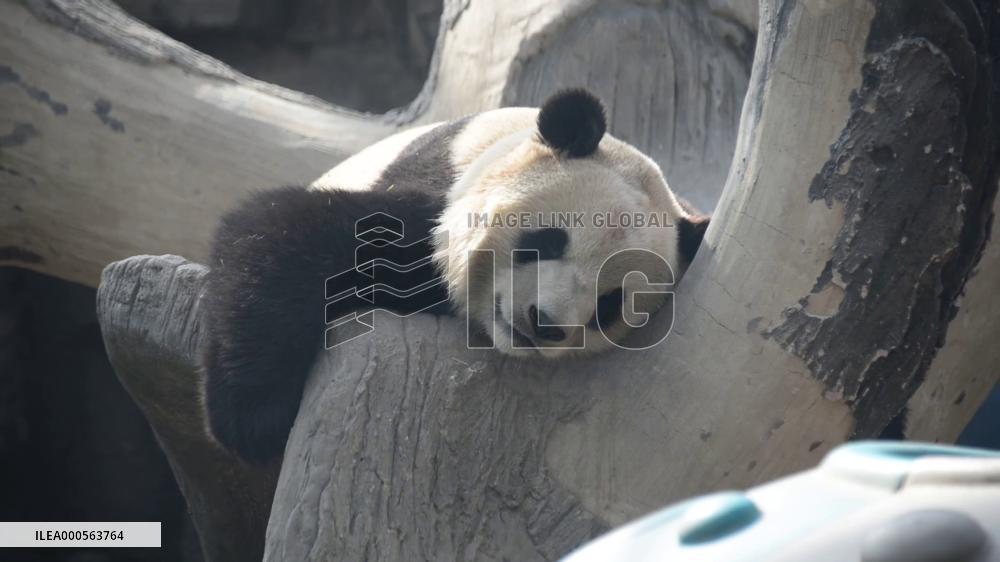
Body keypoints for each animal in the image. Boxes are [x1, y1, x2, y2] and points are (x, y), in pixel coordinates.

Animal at [203, 89, 709, 463]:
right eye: (548, 241)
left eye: (610, 305)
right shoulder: (436, 196)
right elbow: (285, 231)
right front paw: (257, 419)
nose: (542, 322)